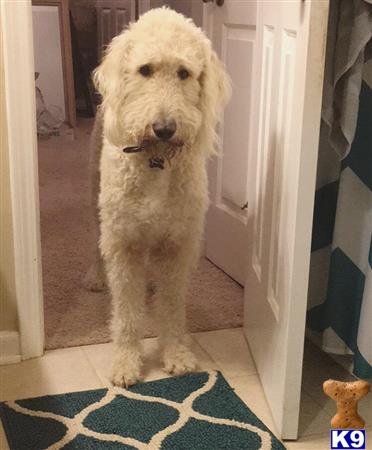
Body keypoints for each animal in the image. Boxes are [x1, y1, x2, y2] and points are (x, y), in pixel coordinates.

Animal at [84, 7, 230, 386]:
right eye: (145, 70)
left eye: (184, 73)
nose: (164, 128)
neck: (156, 160)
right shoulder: (123, 244)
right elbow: (126, 314)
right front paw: (126, 362)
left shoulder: (177, 245)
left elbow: (172, 307)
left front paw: (175, 353)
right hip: (97, 202)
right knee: (96, 242)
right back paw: (96, 275)